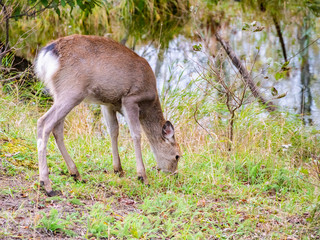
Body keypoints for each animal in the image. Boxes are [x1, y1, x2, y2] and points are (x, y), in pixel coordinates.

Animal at [35, 34, 181, 196]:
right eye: (177, 156)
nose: (174, 175)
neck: (149, 102)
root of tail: (47, 54)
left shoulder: (108, 104)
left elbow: (113, 131)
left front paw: (118, 169)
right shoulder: (131, 99)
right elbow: (136, 134)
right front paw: (142, 177)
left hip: (59, 92)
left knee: (57, 128)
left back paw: (75, 174)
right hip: (72, 89)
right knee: (44, 122)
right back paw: (47, 184)